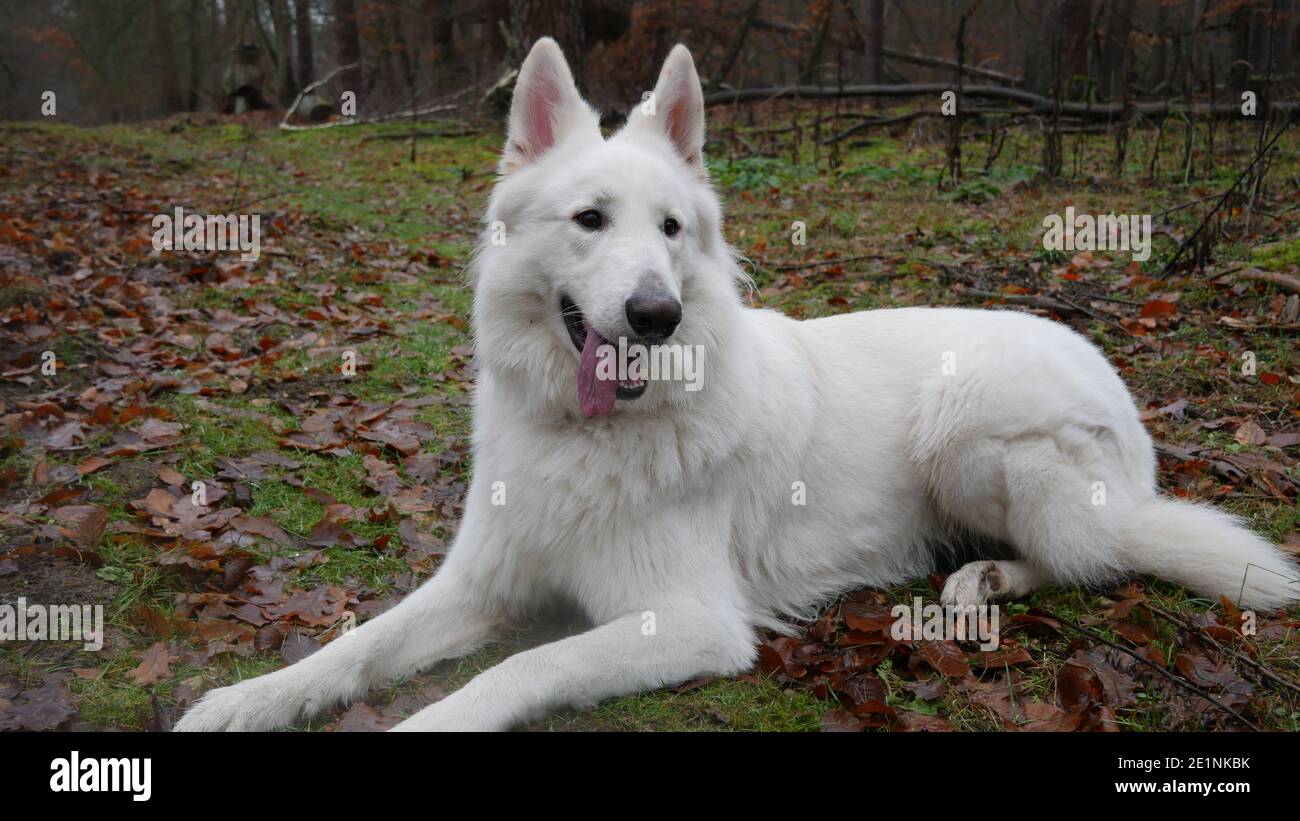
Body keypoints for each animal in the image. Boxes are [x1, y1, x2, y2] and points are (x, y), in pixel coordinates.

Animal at [175, 40, 1300, 732]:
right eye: (590, 220)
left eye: (672, 230)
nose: (656, 316)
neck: (589, 435)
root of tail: (1118, 390)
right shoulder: (480, 582)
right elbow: (359, 642)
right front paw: (252, 696)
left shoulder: (687, 621)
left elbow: (521, 667)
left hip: (969, 429)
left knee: (1092, 558)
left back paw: (987, 577)